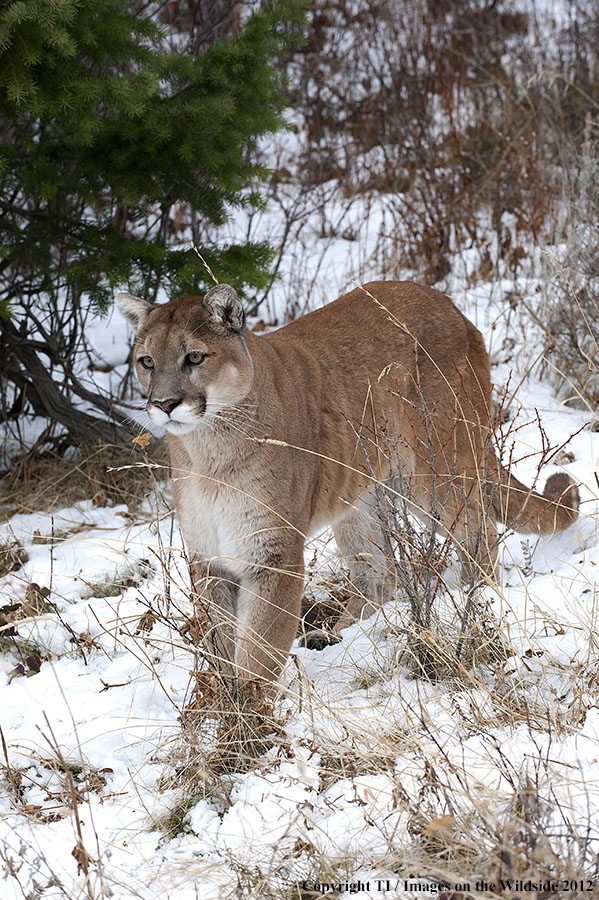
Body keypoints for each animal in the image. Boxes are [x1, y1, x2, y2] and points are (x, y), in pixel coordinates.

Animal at [115, 284, 580, 692]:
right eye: (147, 361)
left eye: (194, 356)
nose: (164, 404)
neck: (208, 452)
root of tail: (450, 305)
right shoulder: (209, 557)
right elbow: (221, 641)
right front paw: (225, 703)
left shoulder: (273, 554)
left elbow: (259, 649)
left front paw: (250, 719)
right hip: (363, 496)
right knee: (380, 574)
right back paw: (335, 635)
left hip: (434, 471)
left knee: (479, 534)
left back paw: (474, 603)